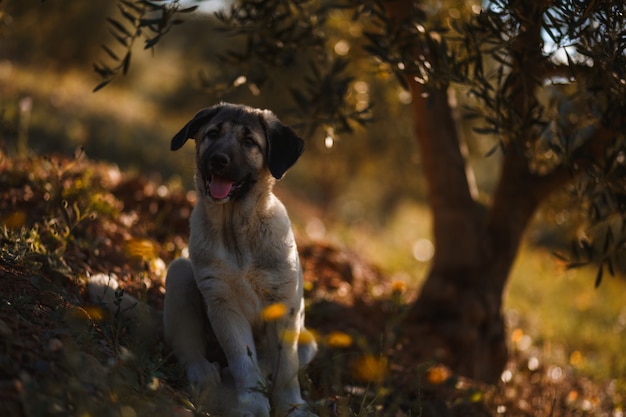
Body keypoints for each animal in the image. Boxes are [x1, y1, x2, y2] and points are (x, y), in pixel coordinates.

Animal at [163, 103, 314, 416]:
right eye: (212, 134)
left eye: (249, 142)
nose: (217, 160)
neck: (236, 230)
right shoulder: (222, 301)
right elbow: (243, 360)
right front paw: (253, 403)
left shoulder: (285, 306)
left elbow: (286, 369)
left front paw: (292, 407)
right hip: (181, 272)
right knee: (187, 345)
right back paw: (203, 373)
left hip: (308, 340)